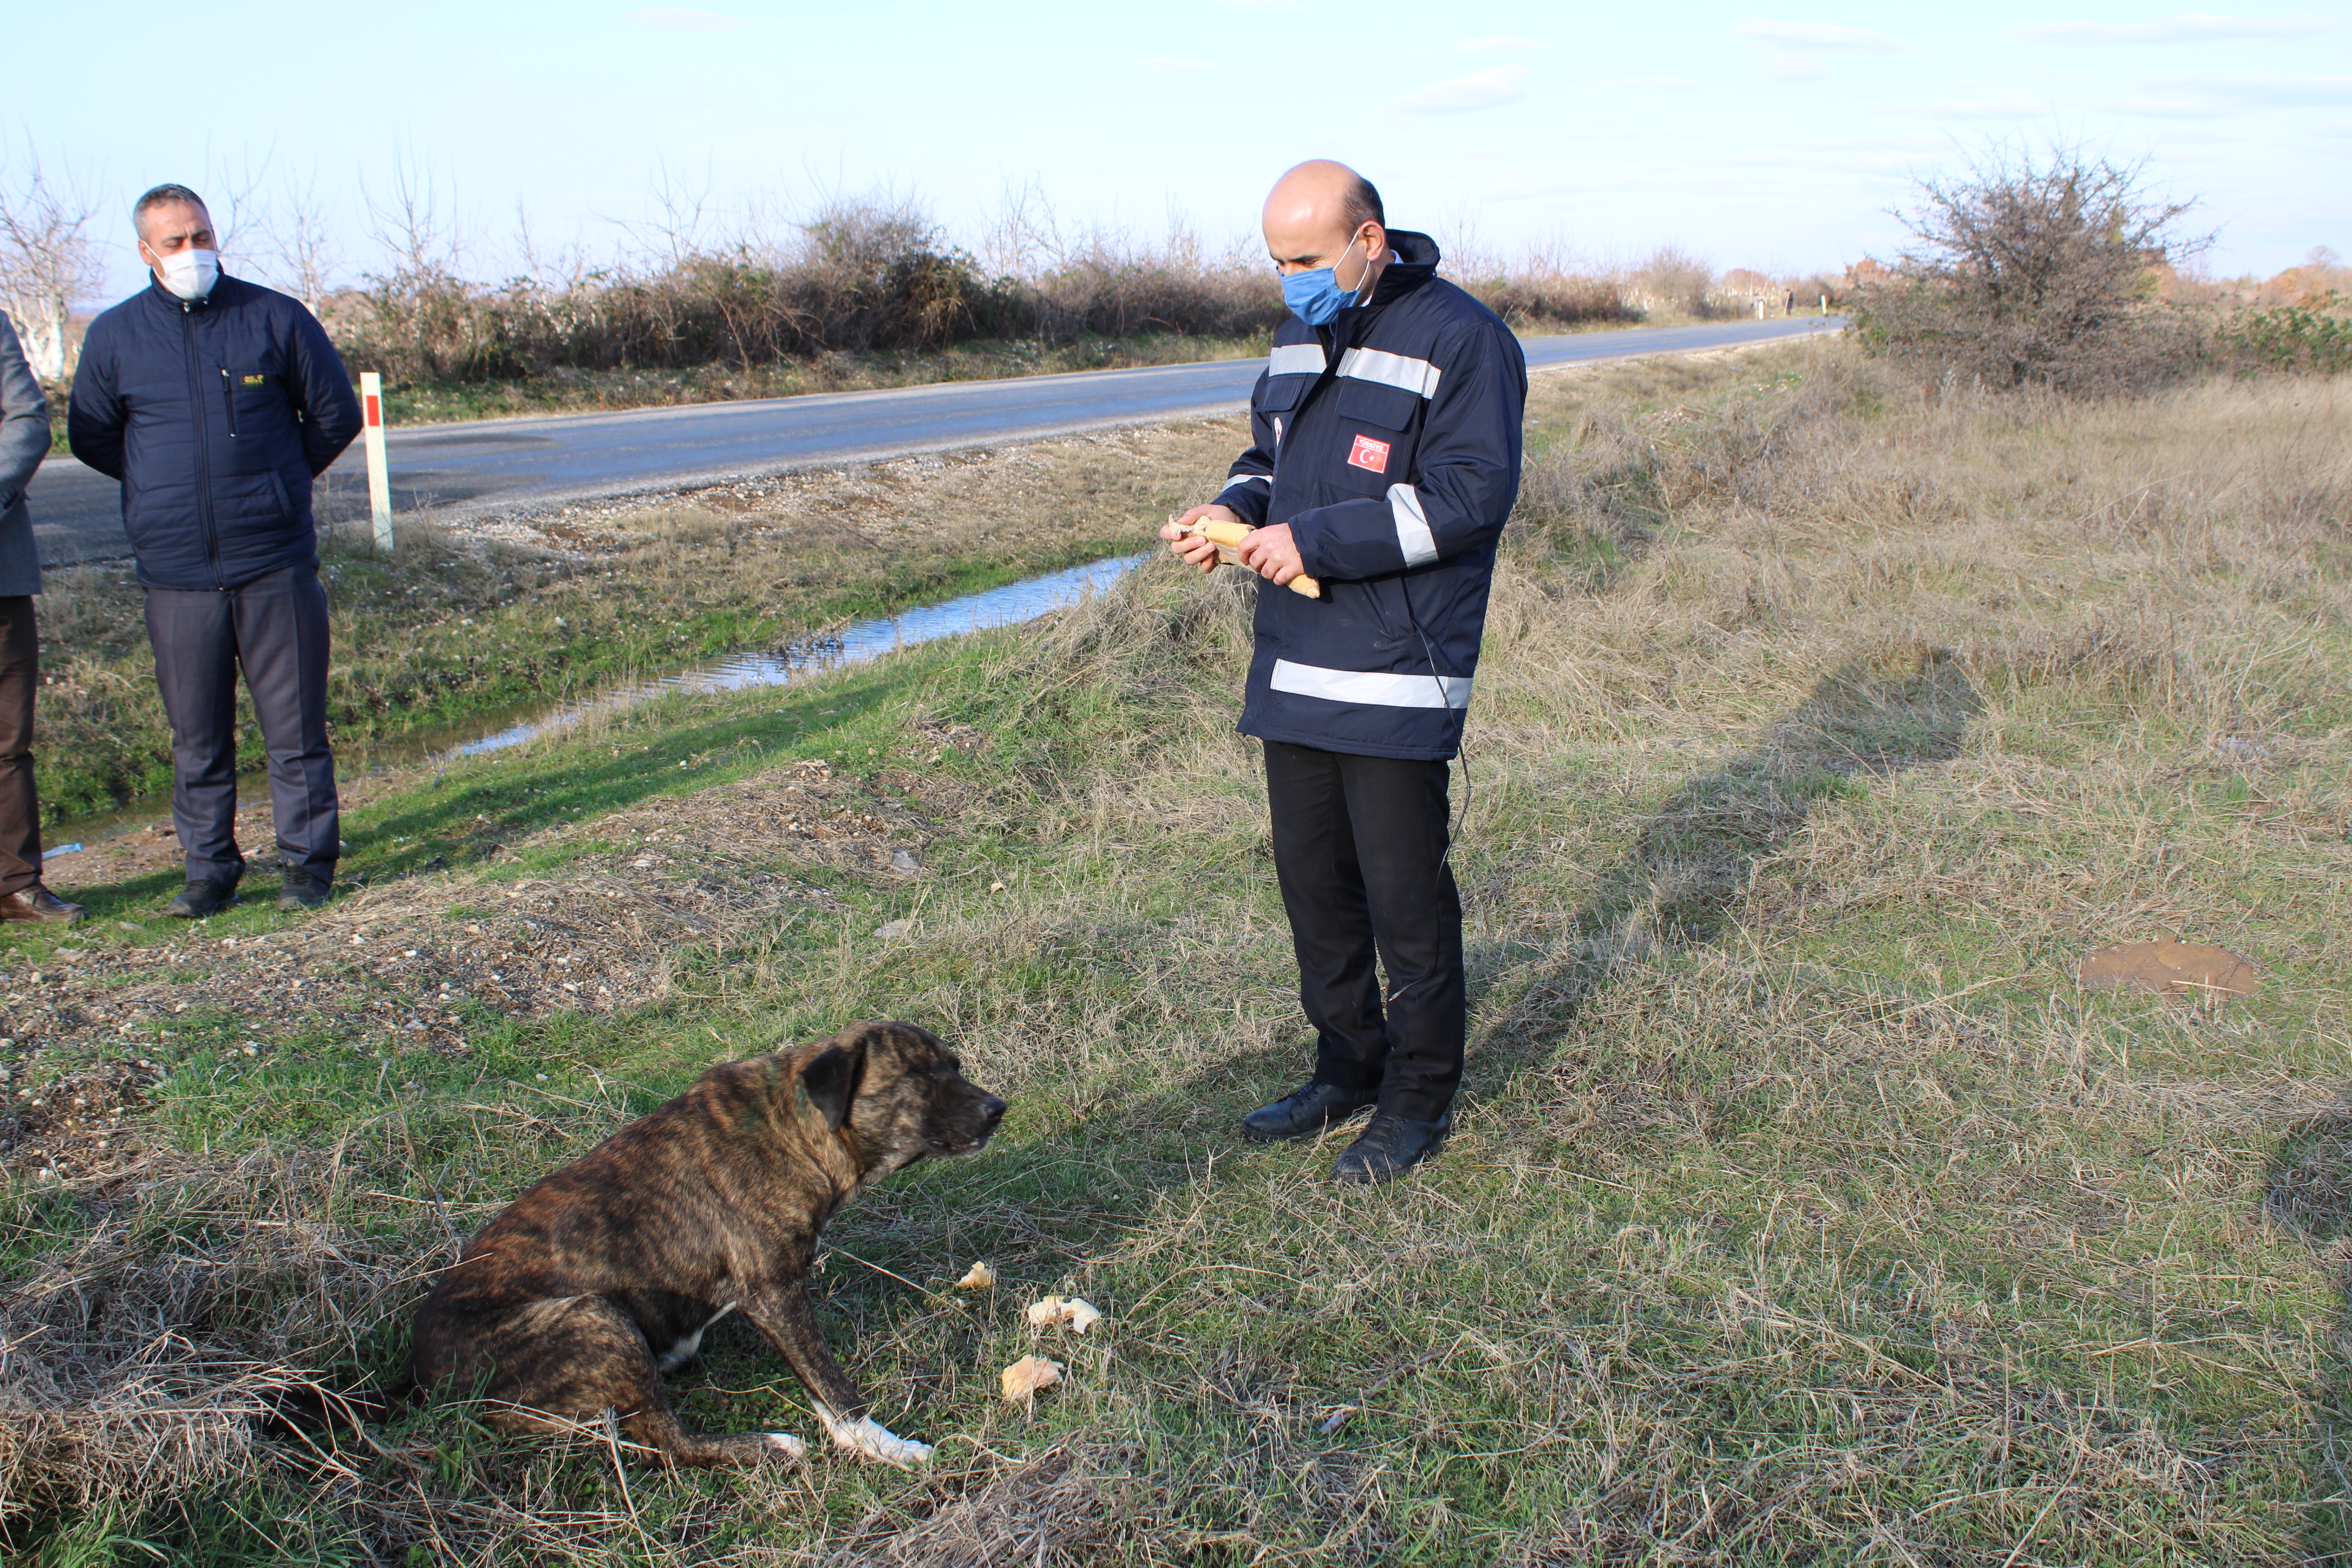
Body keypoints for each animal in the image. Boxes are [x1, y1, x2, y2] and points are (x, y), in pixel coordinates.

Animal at [409, 1025, 1007, 1466]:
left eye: (955, 1066)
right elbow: (833, 1385)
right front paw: (887, 1446)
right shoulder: (776, 1293)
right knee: (665, 1442)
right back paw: (769, 1446)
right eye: (919, 1076)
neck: (796, 1129)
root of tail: (421, 1378)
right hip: (597, 1317)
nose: (998, 1108)